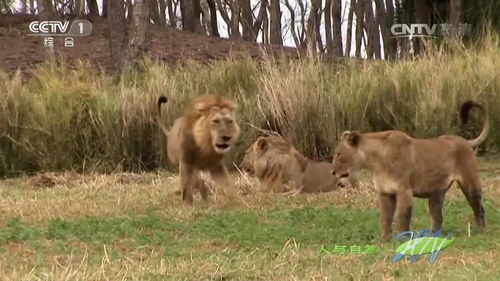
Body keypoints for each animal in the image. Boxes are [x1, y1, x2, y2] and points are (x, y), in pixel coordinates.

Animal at [332, 99, 488, 240]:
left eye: (338, 154)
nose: (332, 172)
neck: (376, 164)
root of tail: (465, 140)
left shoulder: (404, 191)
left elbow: (403, 217)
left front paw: (403, 240)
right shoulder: (384, 193)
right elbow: (385, 218)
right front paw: (385, 240)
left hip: (470, 183)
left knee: (479, 207)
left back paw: (480, 231)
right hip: (436, 193)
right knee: (438, 217)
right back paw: (432, 237)